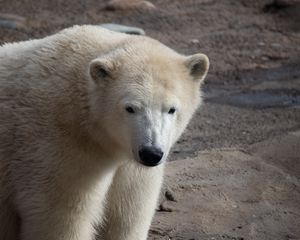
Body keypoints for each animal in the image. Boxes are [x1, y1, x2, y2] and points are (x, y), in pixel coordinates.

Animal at [0, 25, 209, 239]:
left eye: (171, 109)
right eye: (130, 108)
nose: (151, 153)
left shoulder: (131, 168)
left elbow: (127, 217)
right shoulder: (56, 150)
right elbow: (60, 219)